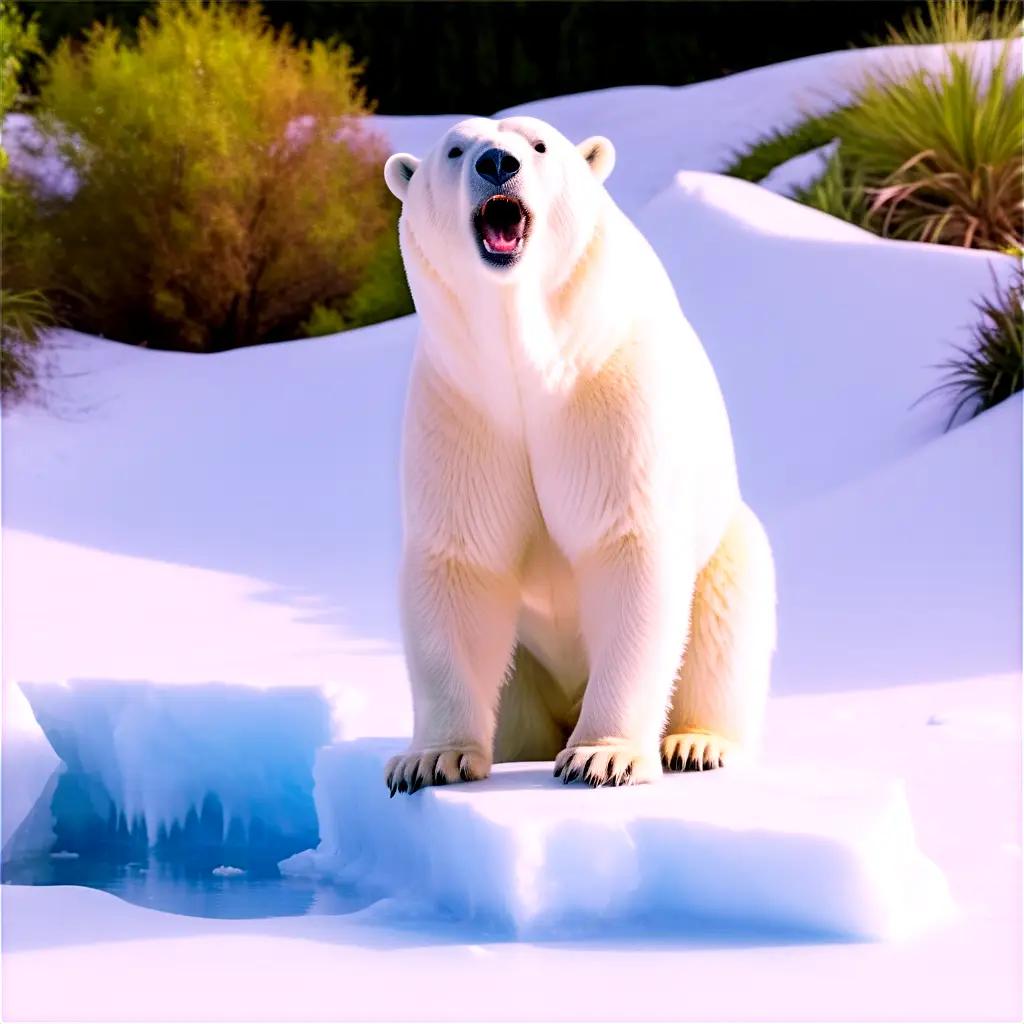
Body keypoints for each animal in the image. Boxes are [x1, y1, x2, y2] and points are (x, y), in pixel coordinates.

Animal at [385, 117, 774, 790]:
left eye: (539, 144)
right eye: (455, 149)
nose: (497, 162)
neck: (528, 357)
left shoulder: (609, 387)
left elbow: (627, 545)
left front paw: (603, 755)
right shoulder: (464, 405)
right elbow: (461, 561)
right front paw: (433, 759)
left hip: (727, 547)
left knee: (725, 615)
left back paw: (696, 742)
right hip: (526, 669)